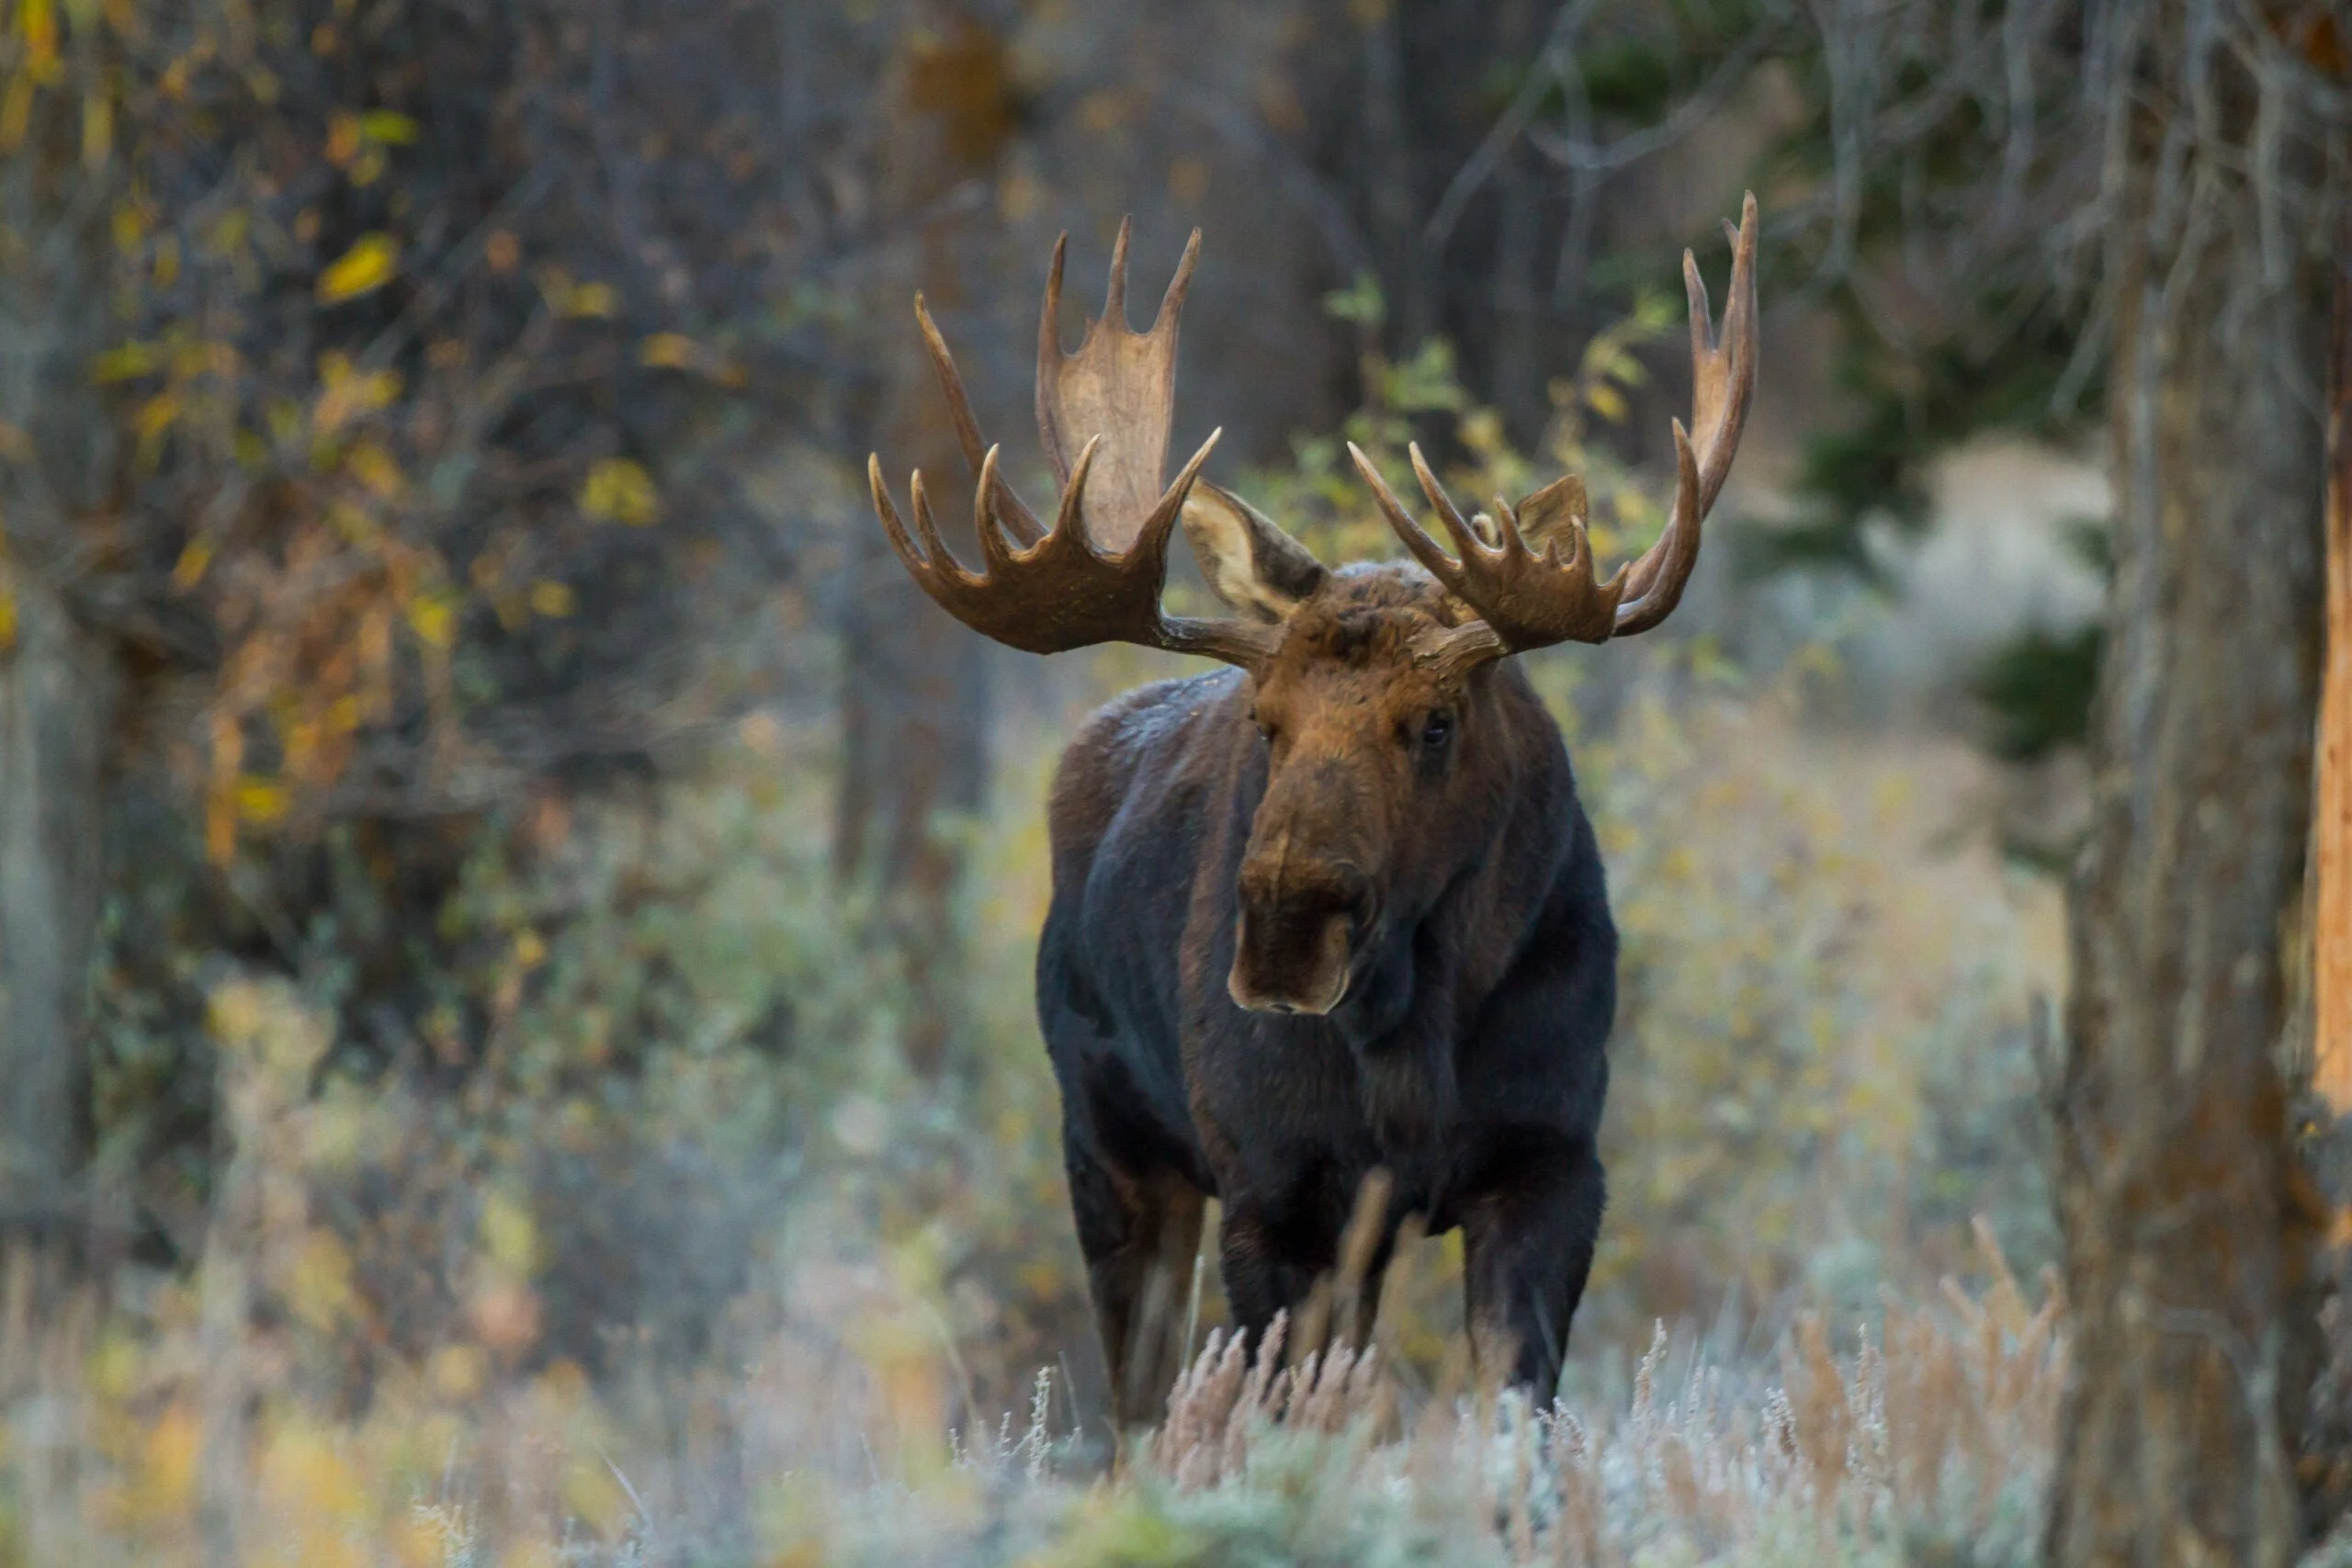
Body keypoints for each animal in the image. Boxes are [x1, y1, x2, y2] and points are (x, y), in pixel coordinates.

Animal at [875, 192, 1758, 1419]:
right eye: (1266, 719)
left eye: (1436, 720)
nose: (1286, 934)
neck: (1415, 1037)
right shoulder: (1278, 1193)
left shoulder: (1553, 1164)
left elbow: (1513, 1421)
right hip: (1109, 1147)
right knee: (1137, 1409)